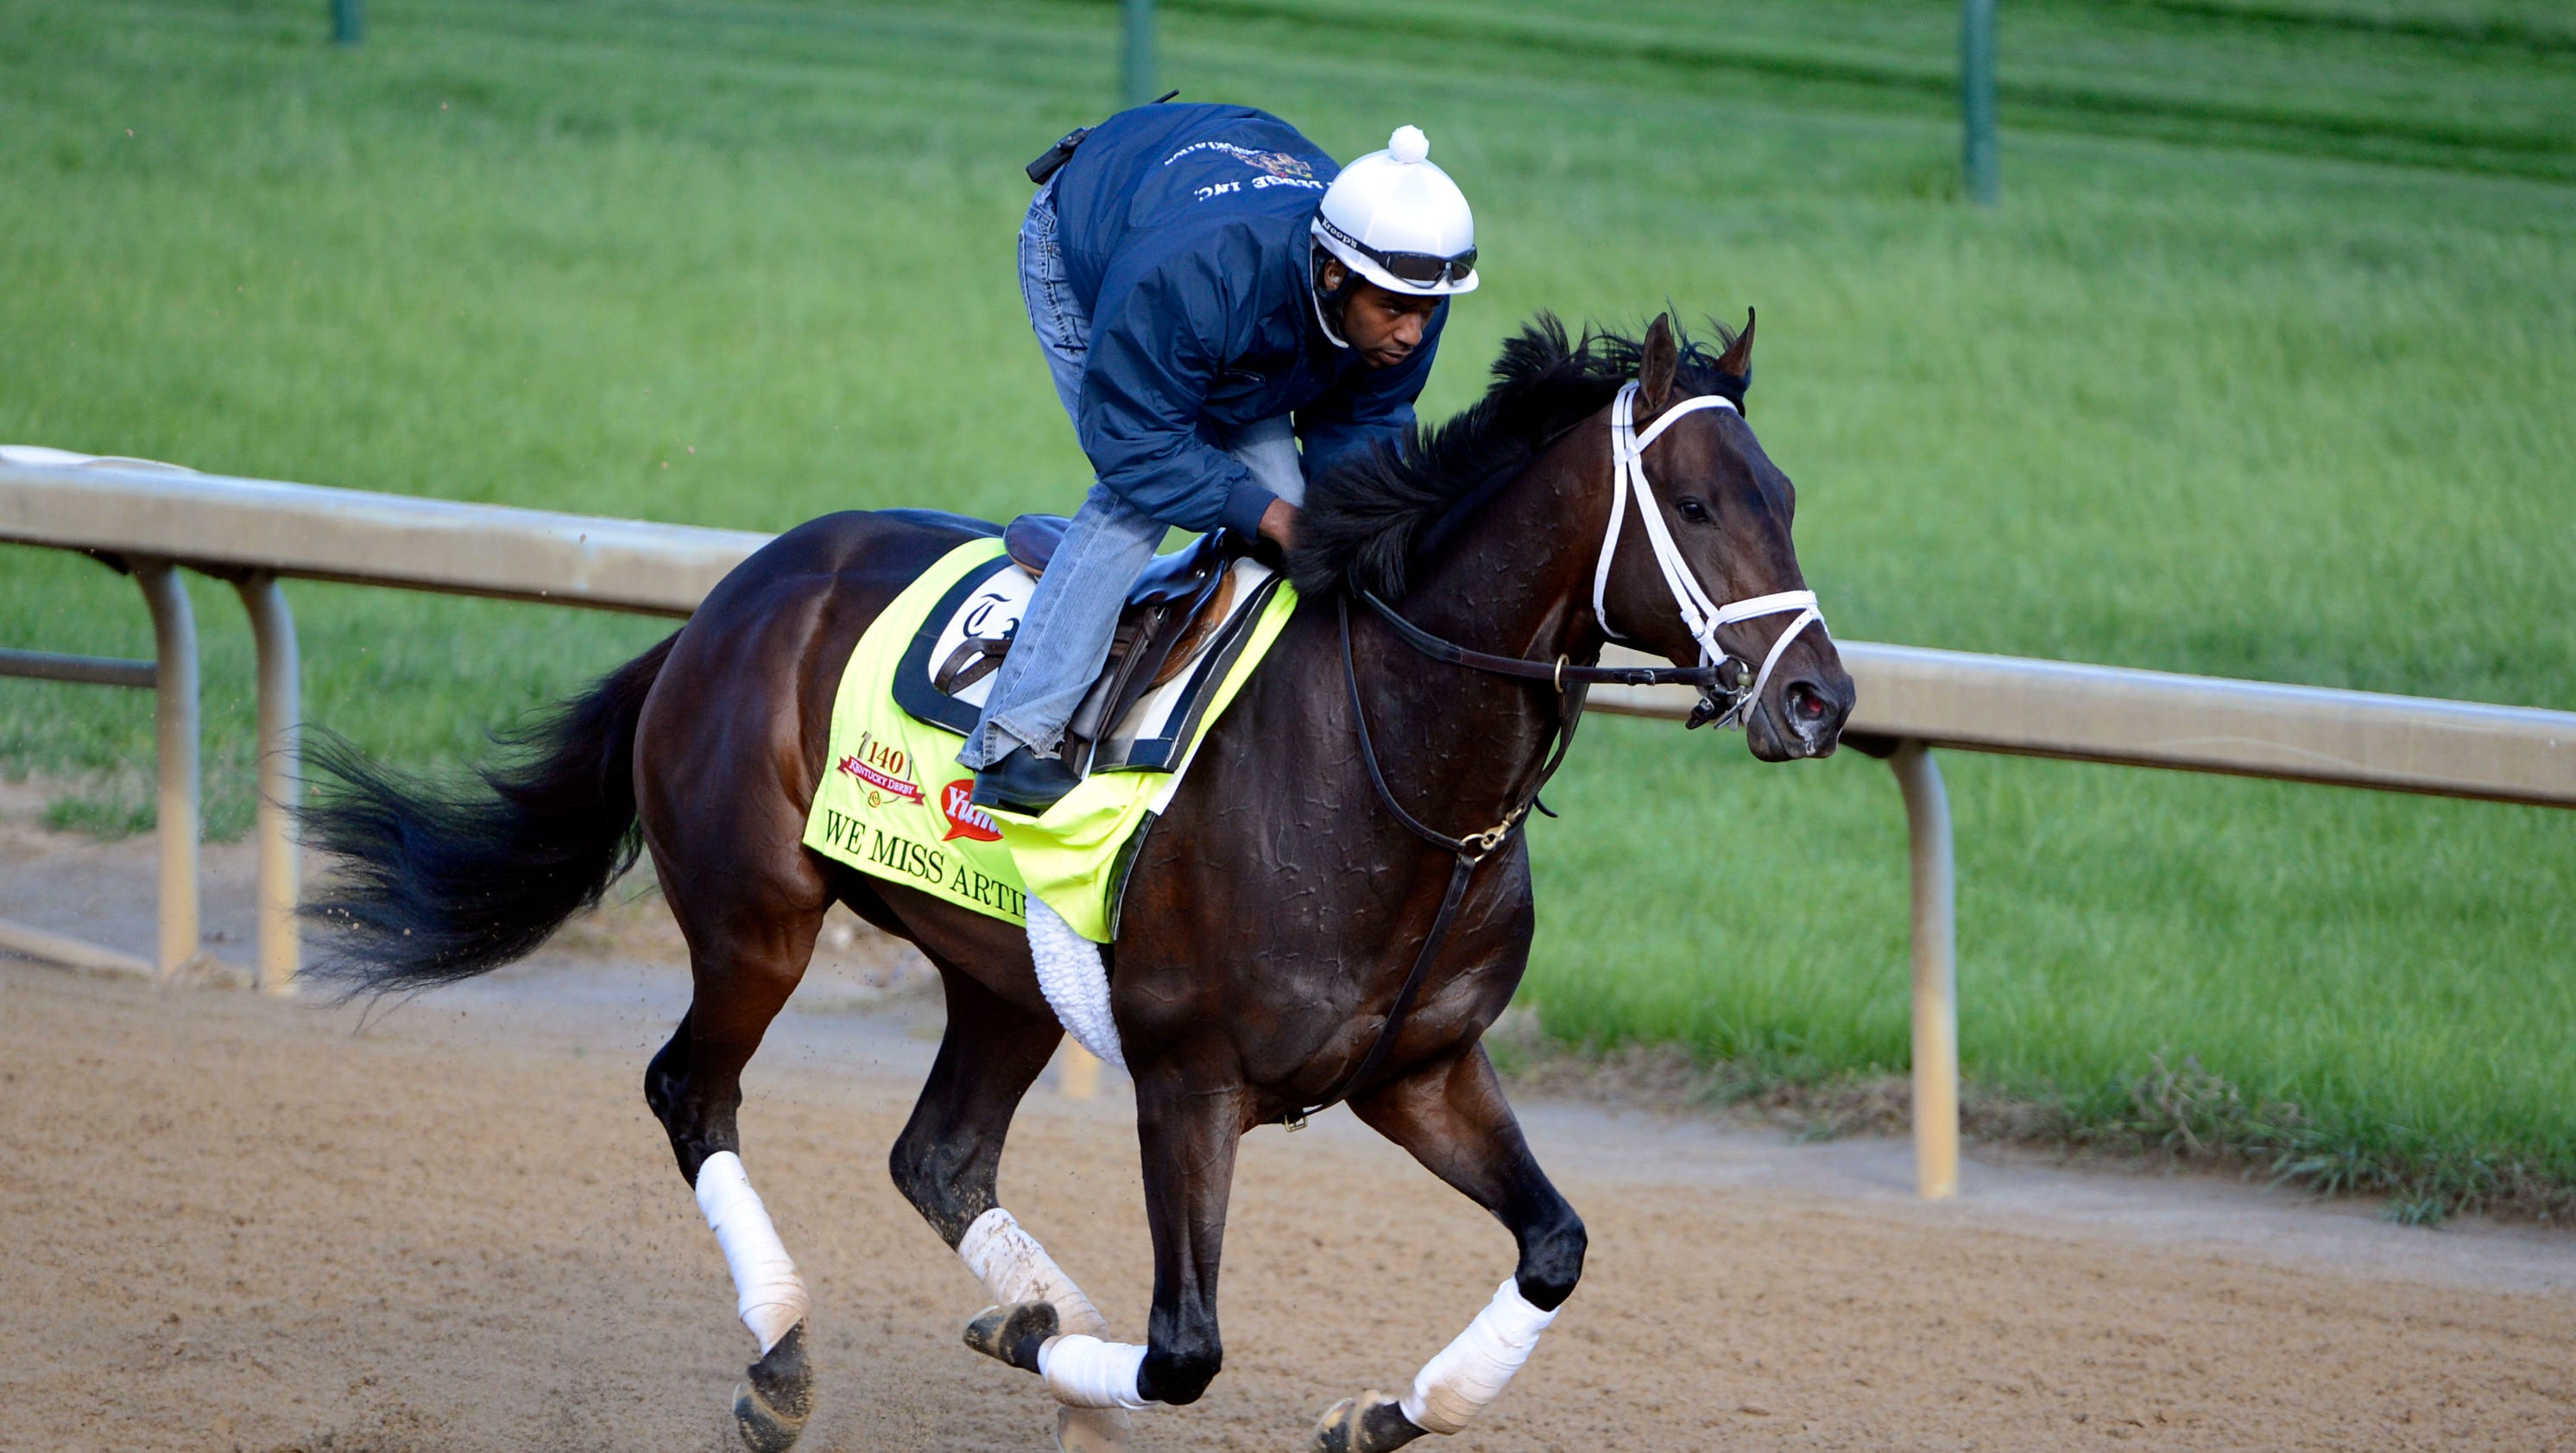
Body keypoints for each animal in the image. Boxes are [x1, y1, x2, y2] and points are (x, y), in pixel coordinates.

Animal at [300, 310, 1854, 1453]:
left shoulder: (1419, 1068)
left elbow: (1553, 1244)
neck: (1388, 765)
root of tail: (731, 596)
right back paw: (790, 1356)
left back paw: (1028, 1318)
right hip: (757, 919)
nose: (1822, 698)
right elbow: (1182, 1350)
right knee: (693, 1088)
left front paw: (1370, 1408)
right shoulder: (1188, 1075)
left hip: (1002, 975)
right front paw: (1070, 1351)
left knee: (934, 1151)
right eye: (1696, 502)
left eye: (1785, 498)